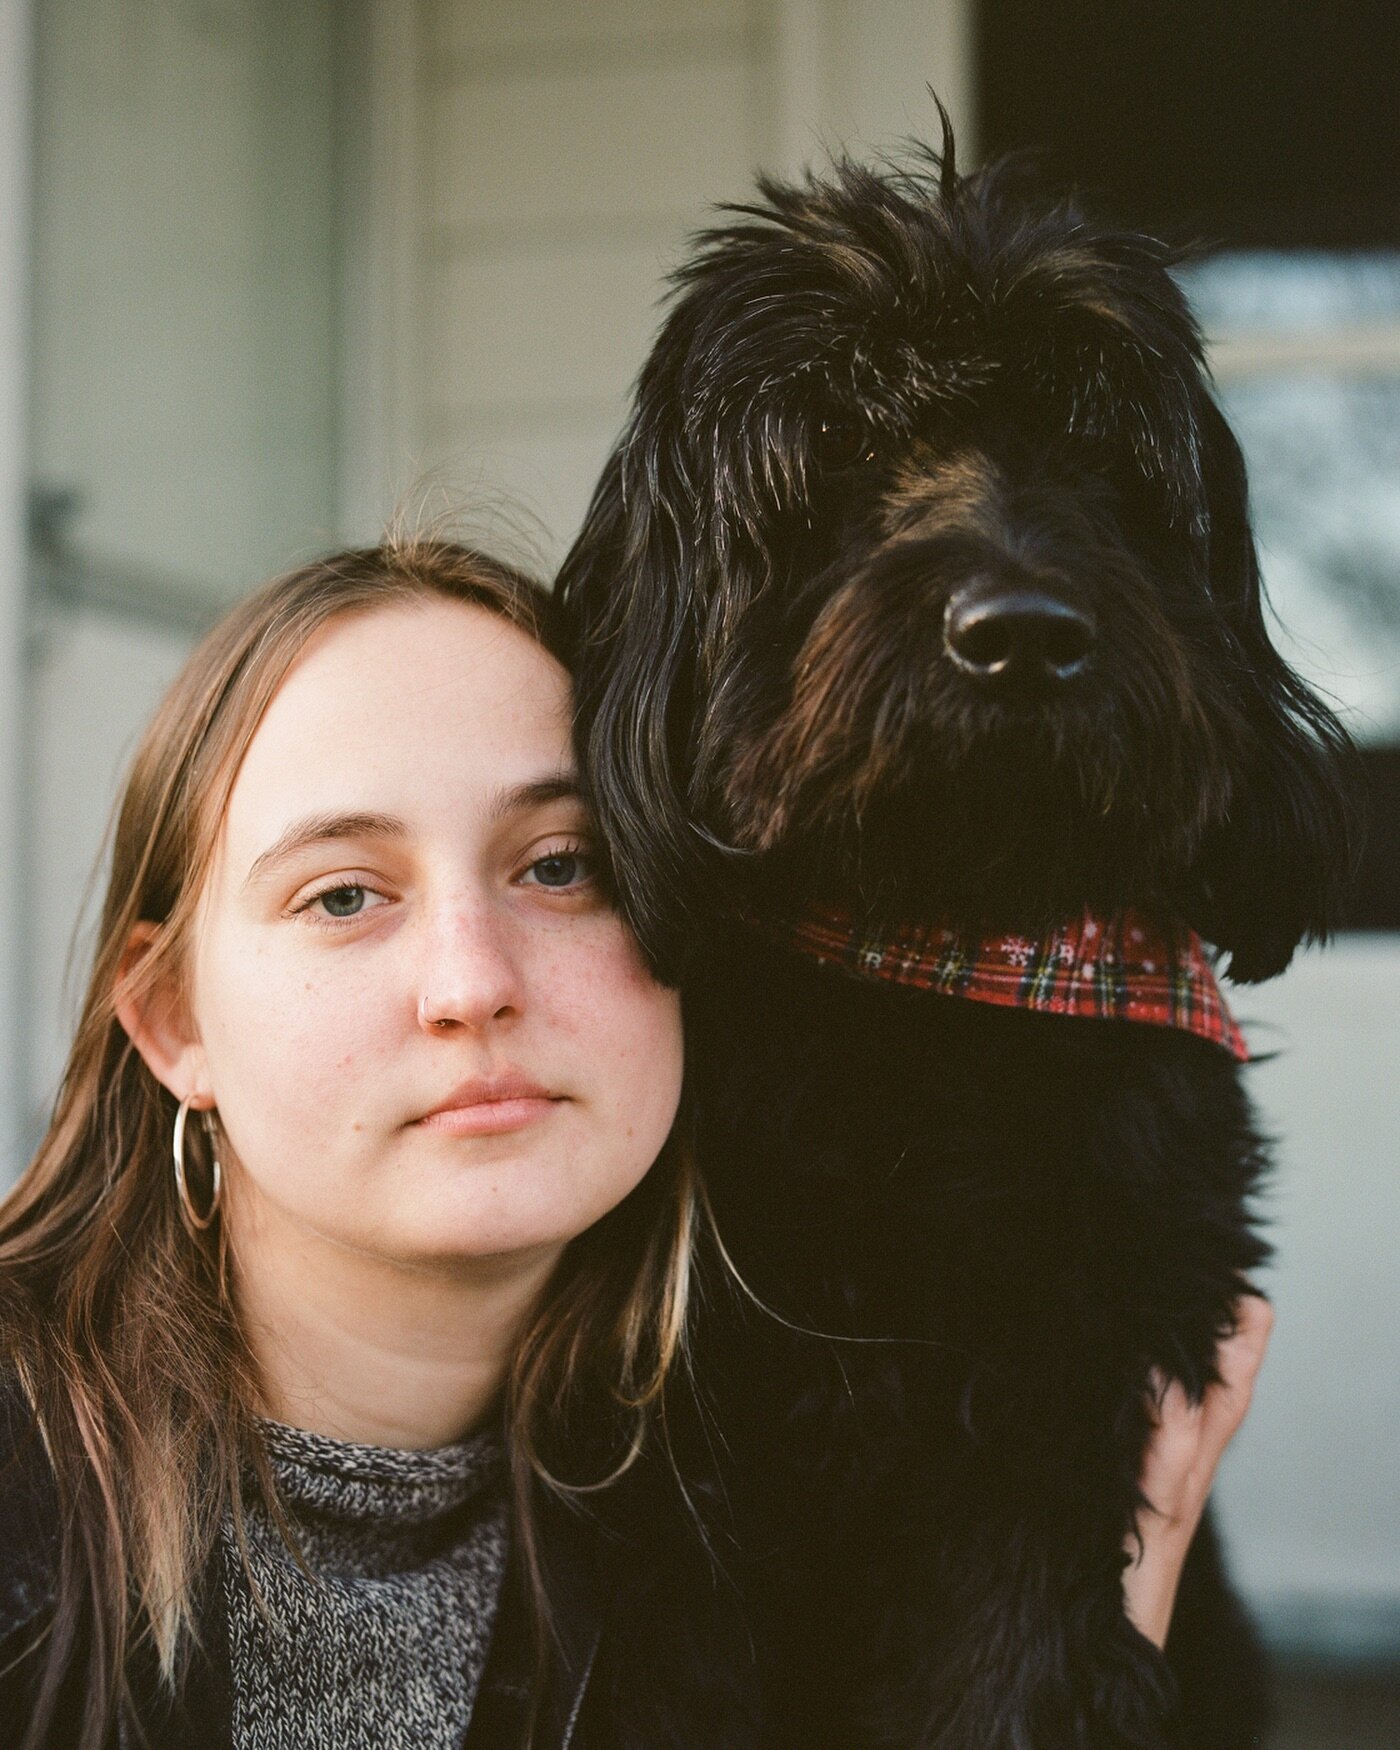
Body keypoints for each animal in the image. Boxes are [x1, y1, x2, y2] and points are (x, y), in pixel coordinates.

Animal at [556, 119, 1358, 1750]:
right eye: (846, 448)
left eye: (1099, 456)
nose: (1023, 635)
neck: (938, 956)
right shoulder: (678, 1456)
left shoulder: (1062, 1388)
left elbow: (1010, 1660)